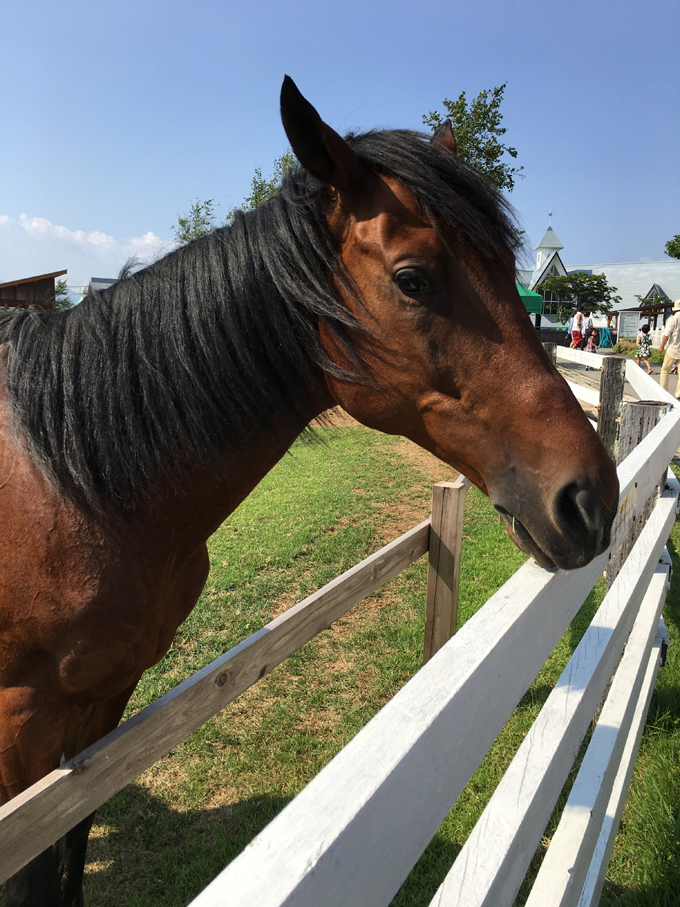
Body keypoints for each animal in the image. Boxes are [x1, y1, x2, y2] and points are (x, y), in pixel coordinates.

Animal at [0, 80, 616, 907]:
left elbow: (66, 860)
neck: (74, 483)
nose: (590, 497)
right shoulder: (24, 730)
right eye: (413, 278)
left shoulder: (101, 708)